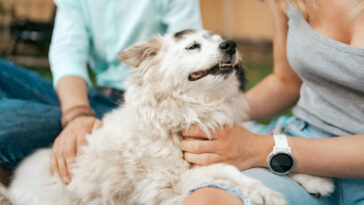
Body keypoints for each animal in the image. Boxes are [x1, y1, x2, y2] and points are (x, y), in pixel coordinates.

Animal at [3, 29, 332, 204]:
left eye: (220, 39)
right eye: (192, 46)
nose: (231, 44)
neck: (189, 111)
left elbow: (261, 154)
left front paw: (314, 178)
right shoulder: (162, 190)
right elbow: (227, 171)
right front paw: (265, 193)